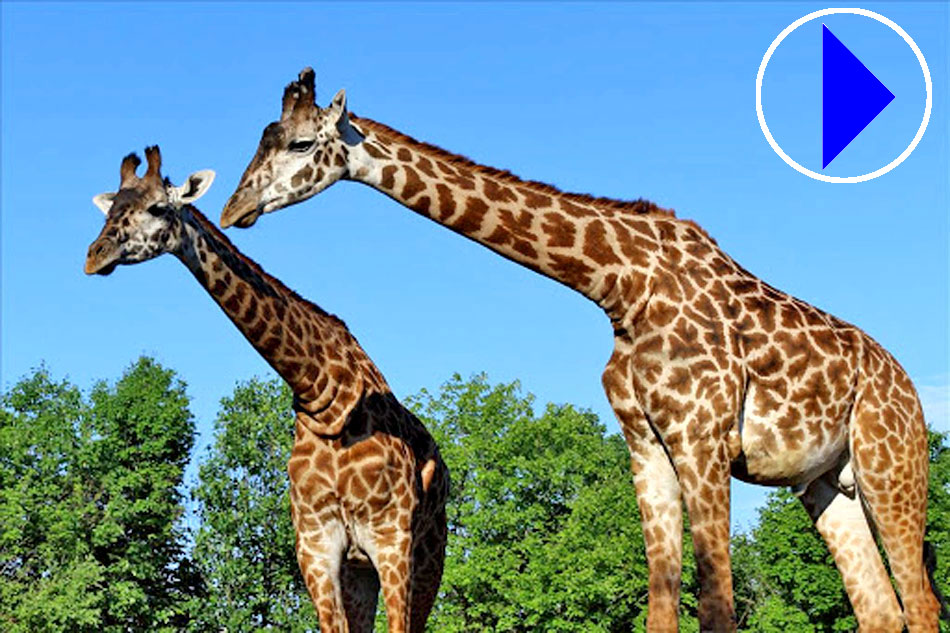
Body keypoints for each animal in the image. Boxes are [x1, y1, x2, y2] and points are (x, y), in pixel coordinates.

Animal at [85, 144, 450, 632]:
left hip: (428, 555)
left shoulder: (391, 540)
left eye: (158, 208)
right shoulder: (315, 547)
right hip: (360, 573)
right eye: (111, 212)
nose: (95, 255)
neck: (324, 395)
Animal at [218, 69, 944, 632]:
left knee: (921, 600)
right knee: (883, 609)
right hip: (826, 483)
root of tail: (905, 382)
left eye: (302, 142)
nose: (232, 208)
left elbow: (716, 606)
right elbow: (661, 604)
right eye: (260, 139)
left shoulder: (703, 436)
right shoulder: (647, 442)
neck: (620, 284)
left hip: (890, 462)